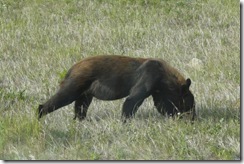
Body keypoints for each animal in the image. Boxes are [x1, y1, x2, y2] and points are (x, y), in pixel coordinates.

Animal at [38, 55, 195, 121]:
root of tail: (71, 69)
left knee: (80, 110)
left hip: (85, 95)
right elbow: (130, 103)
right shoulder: (146, 82)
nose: (193, 119)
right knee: (45, 106)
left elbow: (163, 106)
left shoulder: (159, 95)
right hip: (72, 89)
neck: (164, 76)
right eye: (189, 104)